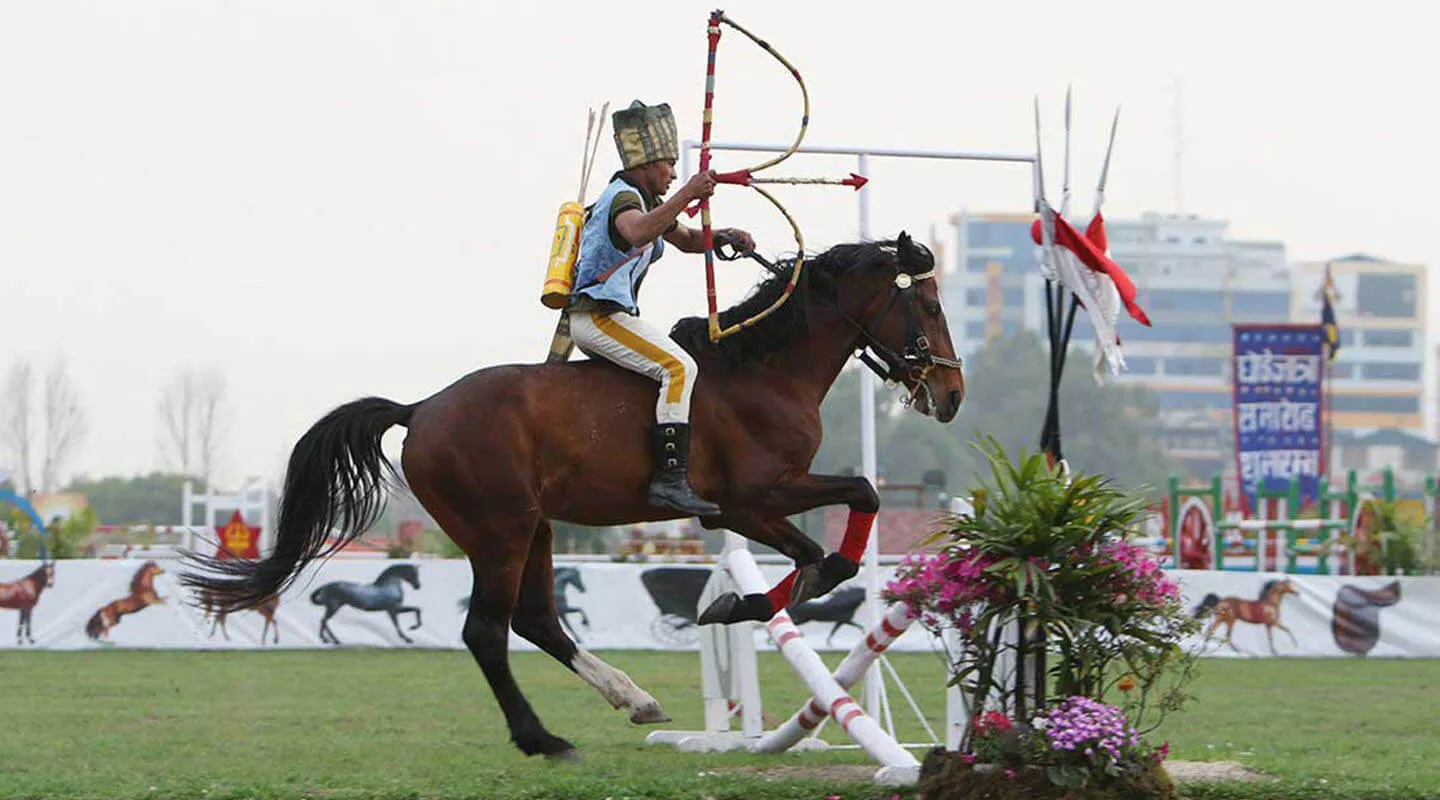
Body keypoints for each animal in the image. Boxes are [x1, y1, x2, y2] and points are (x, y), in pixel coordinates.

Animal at [182, 233, 964, 761]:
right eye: (928, 303)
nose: (953, 394)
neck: (763, 370)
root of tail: (422, 408)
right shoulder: (750, 502)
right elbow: (842, 530)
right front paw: (742, 604)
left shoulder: (759, 504)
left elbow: (830, 539)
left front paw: (742, 603)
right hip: (500, 531)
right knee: (487, 631)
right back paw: (542, 738)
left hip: (535, 528)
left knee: (536, 620)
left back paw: (633, 697)